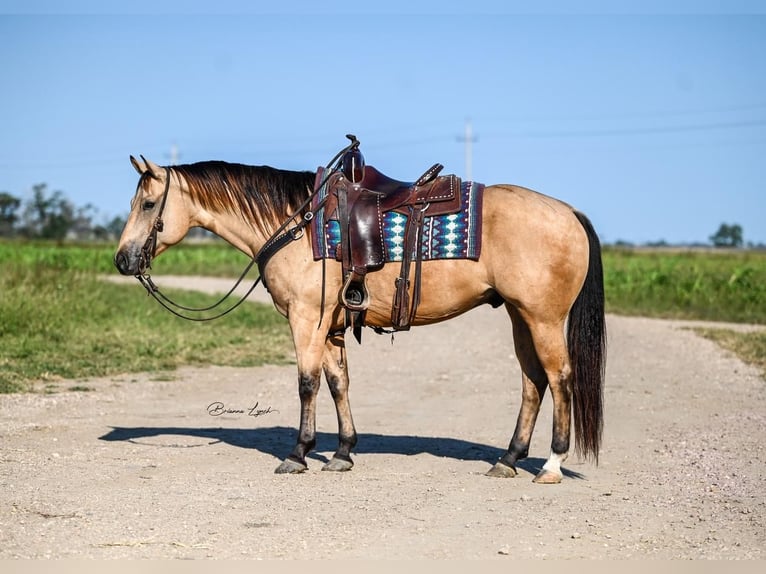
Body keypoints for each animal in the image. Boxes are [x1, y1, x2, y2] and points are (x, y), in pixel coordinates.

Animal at [112, 137, 608, 484]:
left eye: (149, 204)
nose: (122, 260)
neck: (297, 223)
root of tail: (569, 212)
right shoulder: (330, 325)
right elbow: (338, 383)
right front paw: (343, 453)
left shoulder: (306, 319)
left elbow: (307, 384)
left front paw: (298, 454)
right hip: (520, 317)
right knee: (533, 382)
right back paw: (507, 460)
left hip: (543, 318)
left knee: (559, 378)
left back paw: (551, 464)